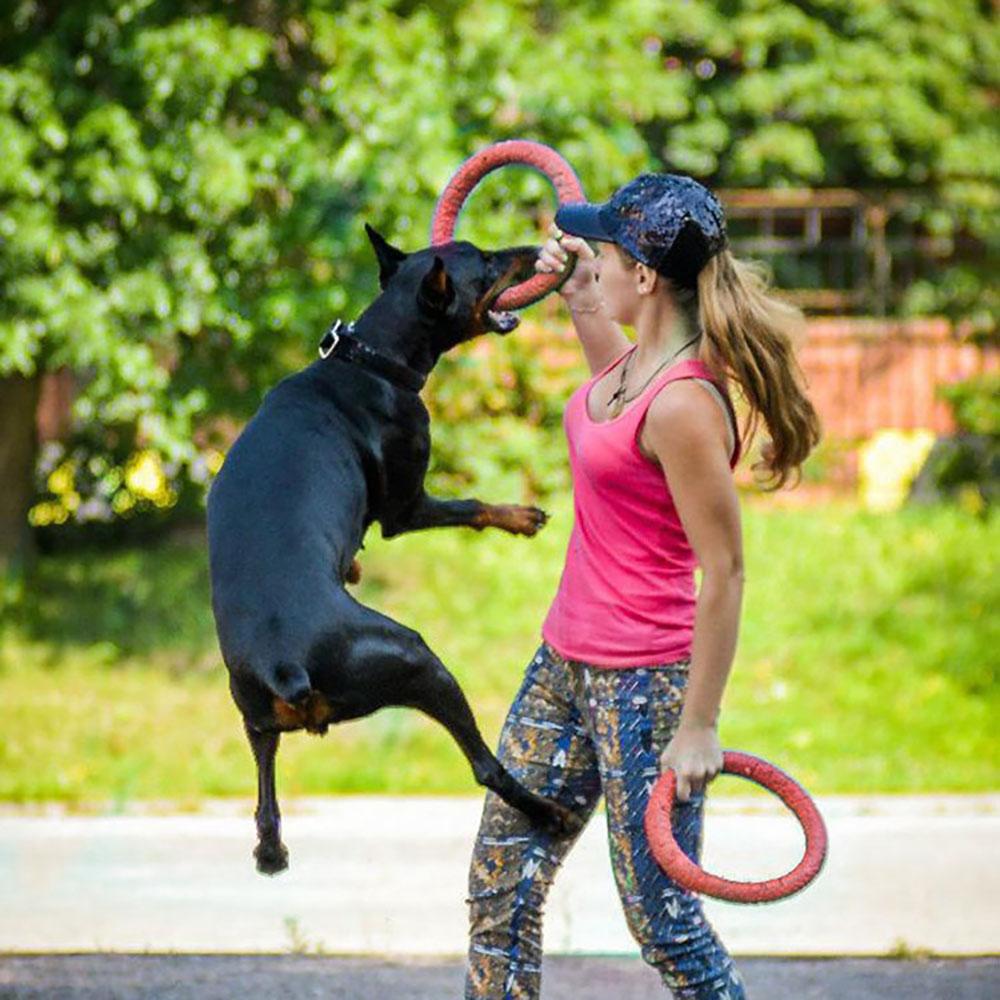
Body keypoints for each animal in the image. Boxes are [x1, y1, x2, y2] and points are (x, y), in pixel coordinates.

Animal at [206, 223, 576, 872]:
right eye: (485, 262)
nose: (536, 249)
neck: (371, 360)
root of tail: (286, 663)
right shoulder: (405, 508)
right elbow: (469, 505)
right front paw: (521, 516)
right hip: (417, 660)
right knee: (485, 766)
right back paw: (548, 812)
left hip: (252, 716)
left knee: (265, 809)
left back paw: (272, 851)